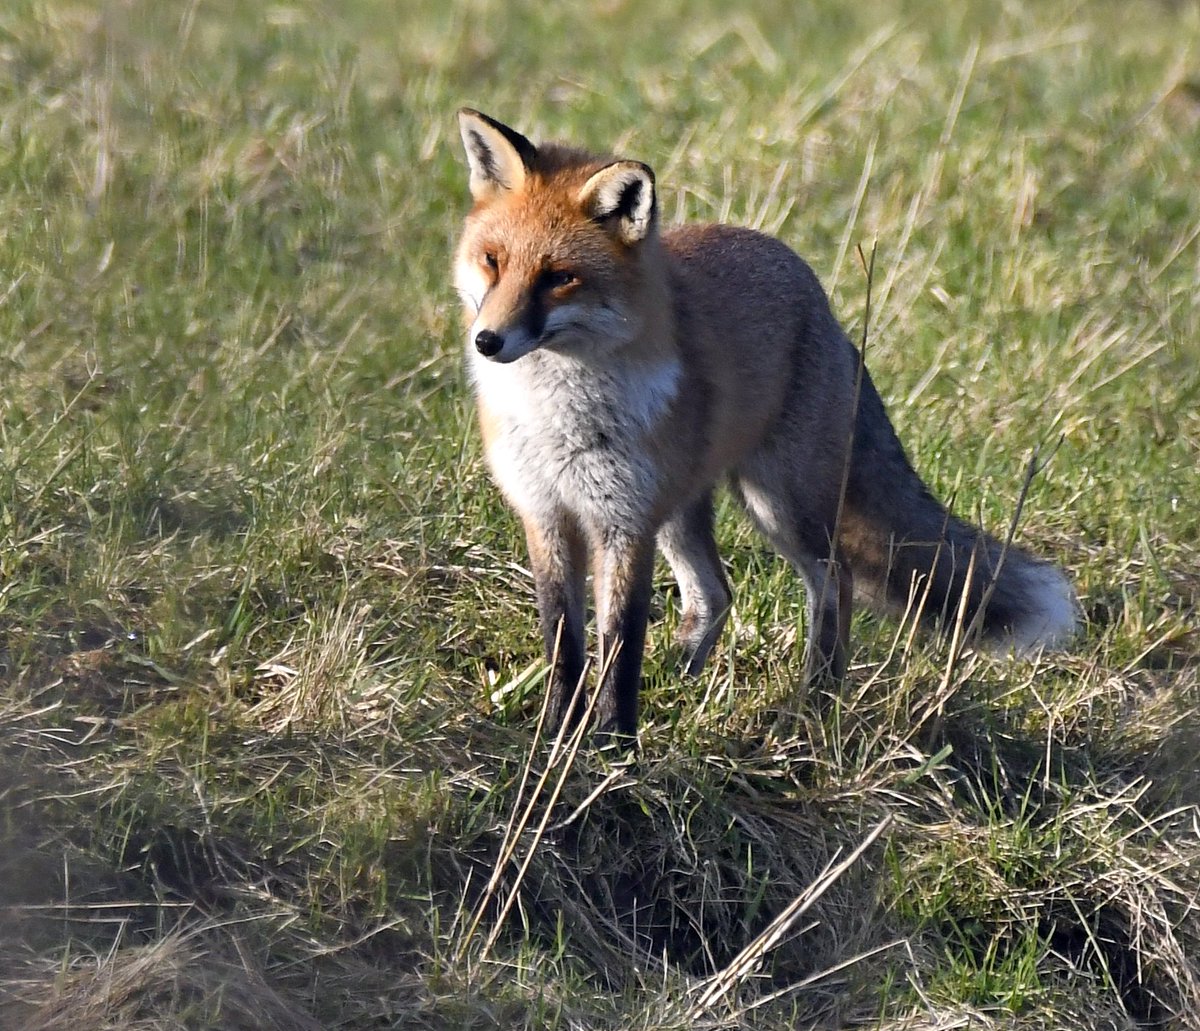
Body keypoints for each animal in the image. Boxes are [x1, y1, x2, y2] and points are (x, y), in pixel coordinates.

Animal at [452, 108, 1078, 740]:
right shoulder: (546, 512)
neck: (558, 416)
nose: (488, 341)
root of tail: (821, 302)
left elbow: (621, 641)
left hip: (780, 505)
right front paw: (556, 731)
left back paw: (815, 701)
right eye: (493, 261)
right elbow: (562, 639)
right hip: (682, 508)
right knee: (714, 593)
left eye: (559, 277)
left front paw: (614, 741)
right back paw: (680, 679)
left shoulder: (624, 521)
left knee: (835, 581)